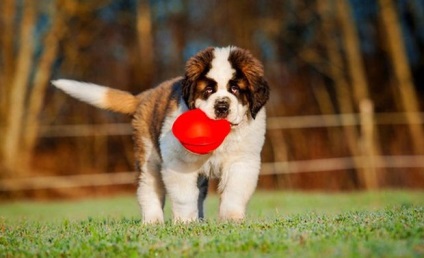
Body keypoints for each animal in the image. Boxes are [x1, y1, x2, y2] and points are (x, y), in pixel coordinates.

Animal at [53, 45, 270, 223]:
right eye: (208, 90)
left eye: (235, 89)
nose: (222, 106)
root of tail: (146, 95)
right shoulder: (179, 163)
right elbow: (184, 195)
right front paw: (185, 223)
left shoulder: (242, 161)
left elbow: (235, 190)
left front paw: (232, 219)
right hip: (148, 157)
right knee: (148, 188)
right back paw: (153, 221)